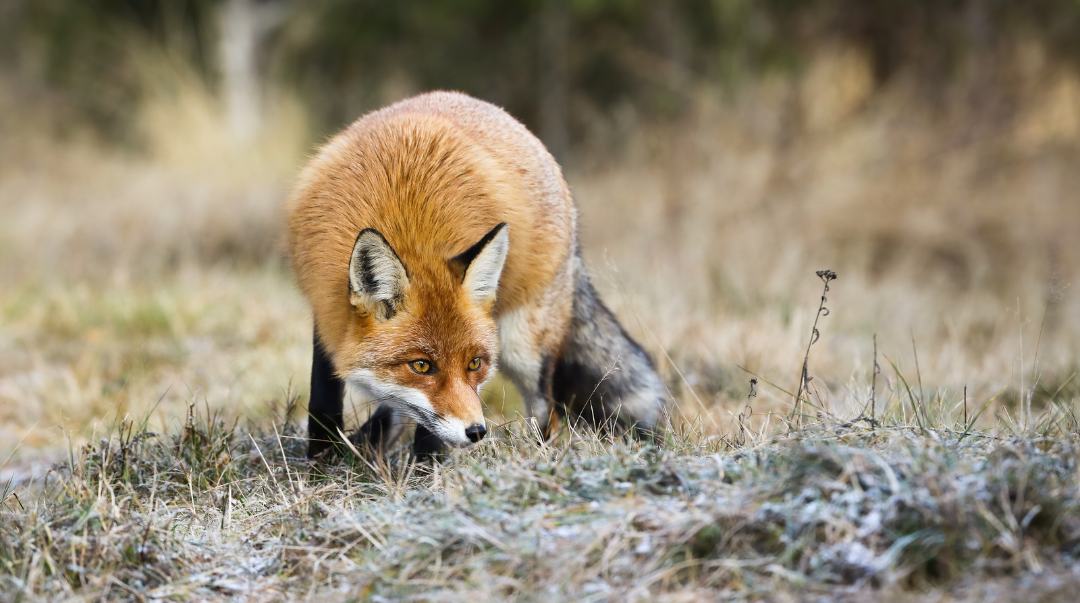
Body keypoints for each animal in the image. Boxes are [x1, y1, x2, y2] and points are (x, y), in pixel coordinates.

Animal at [286, 91, 666, 459]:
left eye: (475, 363)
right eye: (421, 366)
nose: (477, 432)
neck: (409, 225)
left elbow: (430, 436)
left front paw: (425, 474)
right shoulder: (327, 314)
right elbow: (322, 400)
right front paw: (320, 463)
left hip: (524, 346)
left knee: (548, 411)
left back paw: (537, 458)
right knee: (397, 411)